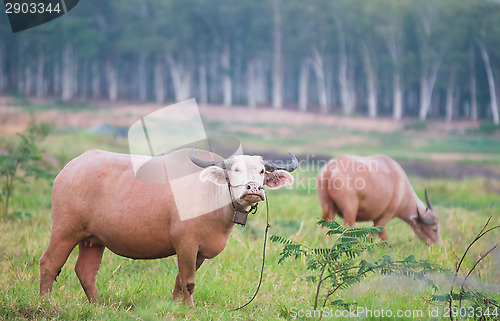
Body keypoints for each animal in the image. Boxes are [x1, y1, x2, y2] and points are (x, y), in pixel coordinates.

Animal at [41, 148, 296, 304]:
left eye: (261, 171)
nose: (254, 188)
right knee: (49, 263)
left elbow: (180, 279)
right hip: (65, 231)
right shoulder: (185, 243)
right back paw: (46, 301)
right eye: (235, 170)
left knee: (86, 271)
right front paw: (189, 307)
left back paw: (99, 304)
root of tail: (70, 167)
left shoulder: (198, 251)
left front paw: (176, 305)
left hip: (93, 239)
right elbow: (189, 281)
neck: (211, 194)